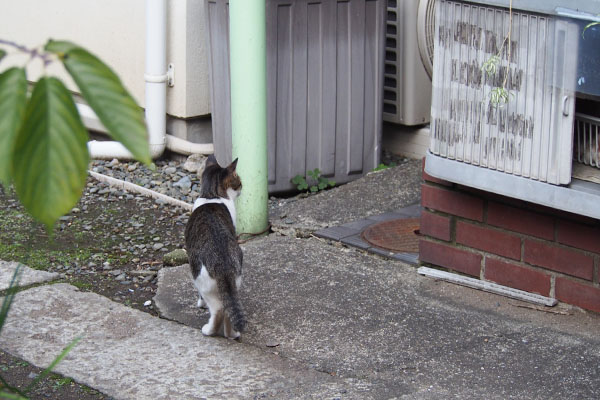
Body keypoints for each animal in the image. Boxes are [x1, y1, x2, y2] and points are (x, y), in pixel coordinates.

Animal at [185, 155, 246, 340]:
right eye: (238, 182)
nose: (242, 188)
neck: (212, 195)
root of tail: (222, 264)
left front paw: (200, 304)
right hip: (235, 281)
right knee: (227, 308)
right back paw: (231, 334)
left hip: (199, 277)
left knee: (218, 310)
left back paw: (209, 330)